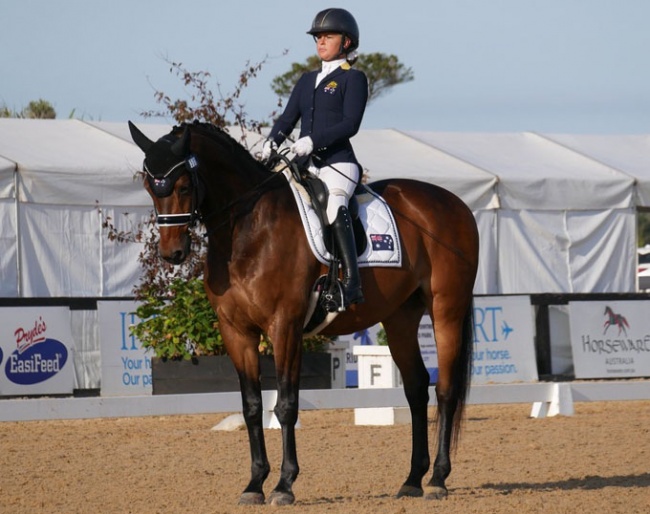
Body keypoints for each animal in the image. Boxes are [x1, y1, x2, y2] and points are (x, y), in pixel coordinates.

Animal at [129, 121, 478, 504]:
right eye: (149, 187)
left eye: (183, 185)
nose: (173, 253)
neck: (248, 230)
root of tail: (454, 203)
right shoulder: (235, 331)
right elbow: (252, 406)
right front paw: (254, 484)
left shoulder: (285, 326)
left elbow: (285, 404)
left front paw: (284, 485)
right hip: (400, 317)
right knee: (416, 388)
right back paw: (413, 479)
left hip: (447, 310)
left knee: (445, 390)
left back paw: (438, 479)